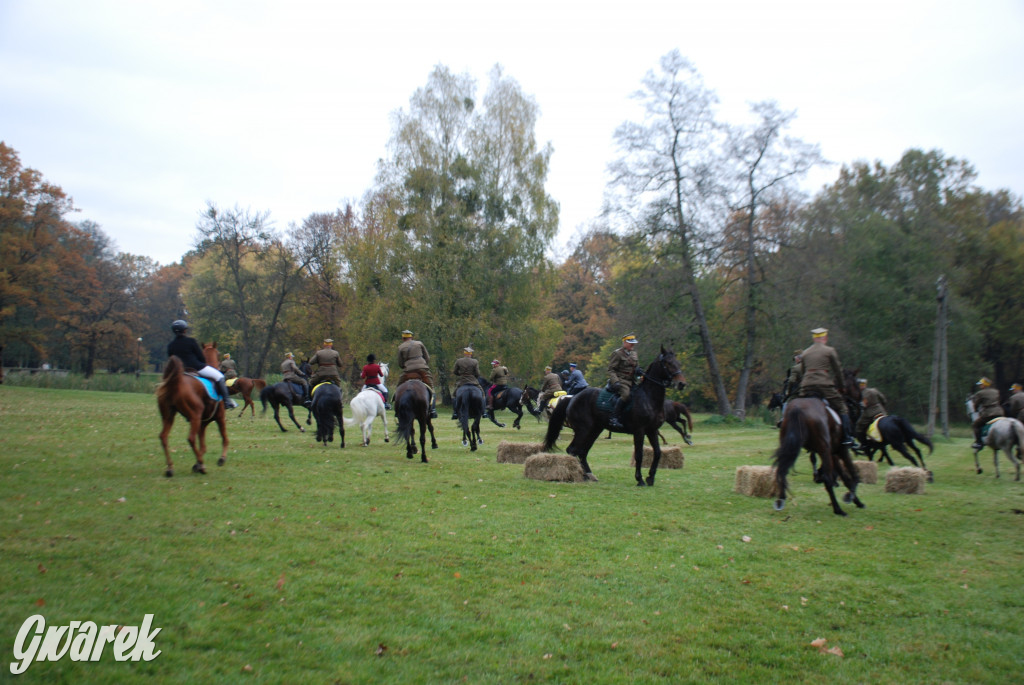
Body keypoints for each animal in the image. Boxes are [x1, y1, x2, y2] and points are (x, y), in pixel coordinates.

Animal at [544, 344, 688, 483]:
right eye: (668, 363)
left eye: (678, 362)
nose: (681, 383)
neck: (648, 398)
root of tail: (573, 397)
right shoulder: (639, 431)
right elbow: (639, 455)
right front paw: (640, 479)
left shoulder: (652, 430)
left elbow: (657, 453)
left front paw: (650, 478)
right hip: (583, 430)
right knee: (573, 450)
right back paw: (582, 475)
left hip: (594, 430)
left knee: (582, 452)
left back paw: (589, 475)